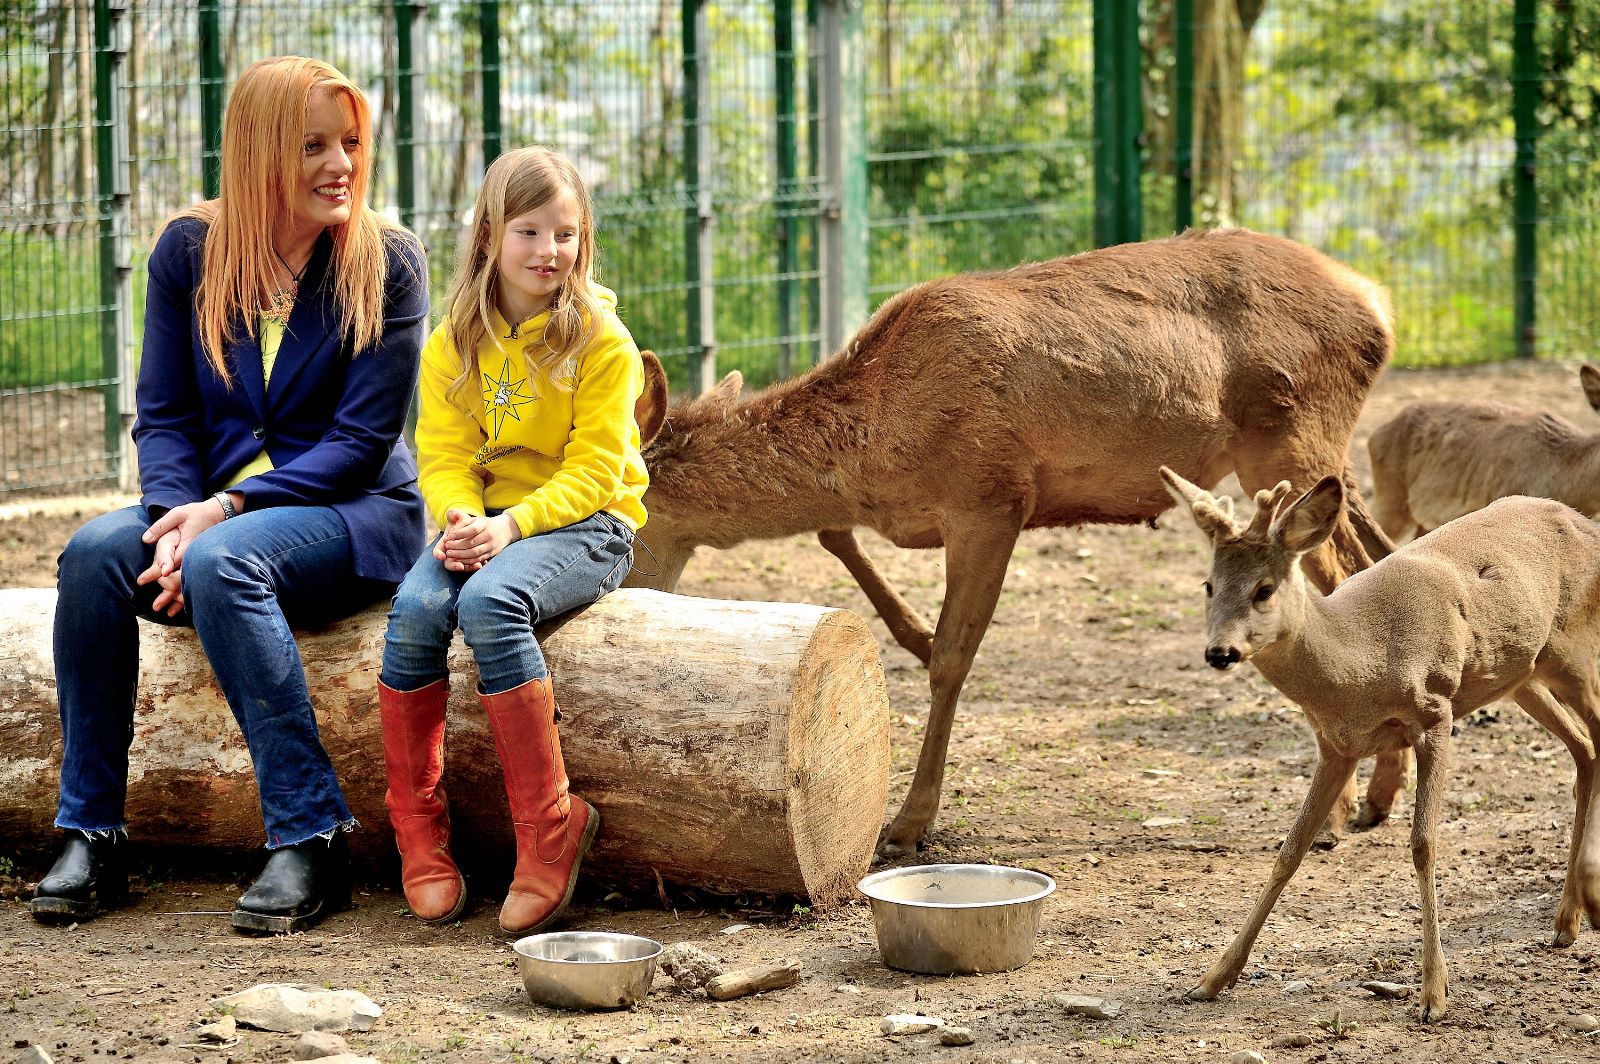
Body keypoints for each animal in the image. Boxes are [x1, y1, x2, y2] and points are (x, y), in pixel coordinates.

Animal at [627, 225, 1401, 857]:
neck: (877, 443)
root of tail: (1379, 306)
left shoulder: (990, 497)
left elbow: (951, 658)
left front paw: (908, 823)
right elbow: (835, 534)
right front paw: (909, 633)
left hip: (1289, 436)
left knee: (1340, 576)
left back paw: (1340, 813)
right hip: (1319, 459)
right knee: (1378, 555)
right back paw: (1371, 800)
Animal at [1164, 470, 1600, 1024]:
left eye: (1264, 589)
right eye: (1209, 585)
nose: (1220, 652)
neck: (1358, 666)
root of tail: (1585, 524)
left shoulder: (1435, 712)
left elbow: (1423, 843)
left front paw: (1434, 994)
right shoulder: (1336, 746)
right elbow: (1290, 850)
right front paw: (1213, 979)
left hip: (1575, 652)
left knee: (1596, 737)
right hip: (1523, 675)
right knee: (1585, 749)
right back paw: (1565, 923)